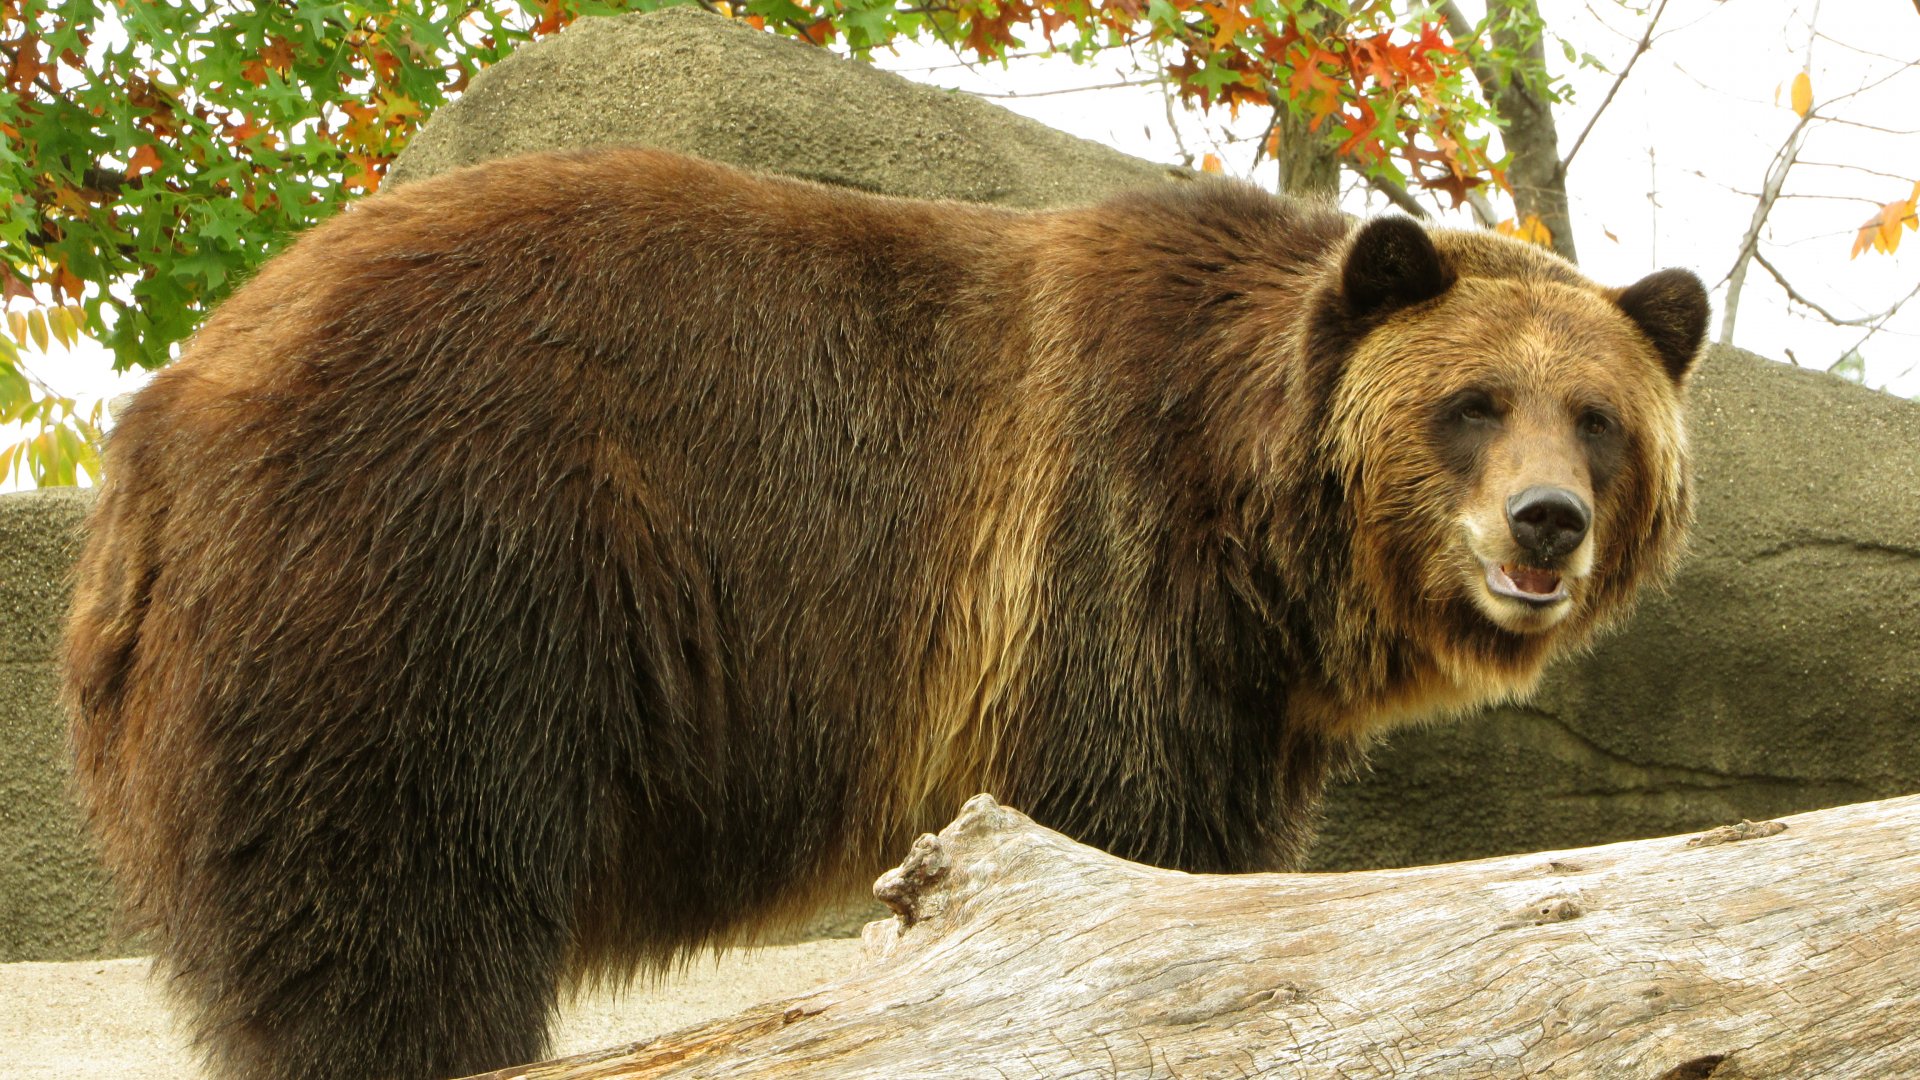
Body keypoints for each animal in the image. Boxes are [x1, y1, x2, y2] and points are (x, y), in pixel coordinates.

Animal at [63, 147, 1707, 1080]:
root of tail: (163, 419)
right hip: (434, 579)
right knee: (394, 917)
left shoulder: (1236, 692)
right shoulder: (1103, 571)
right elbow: (1117, 831)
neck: (1256, 538)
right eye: (1471, 403)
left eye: (1597, 418)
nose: (1545, 522)